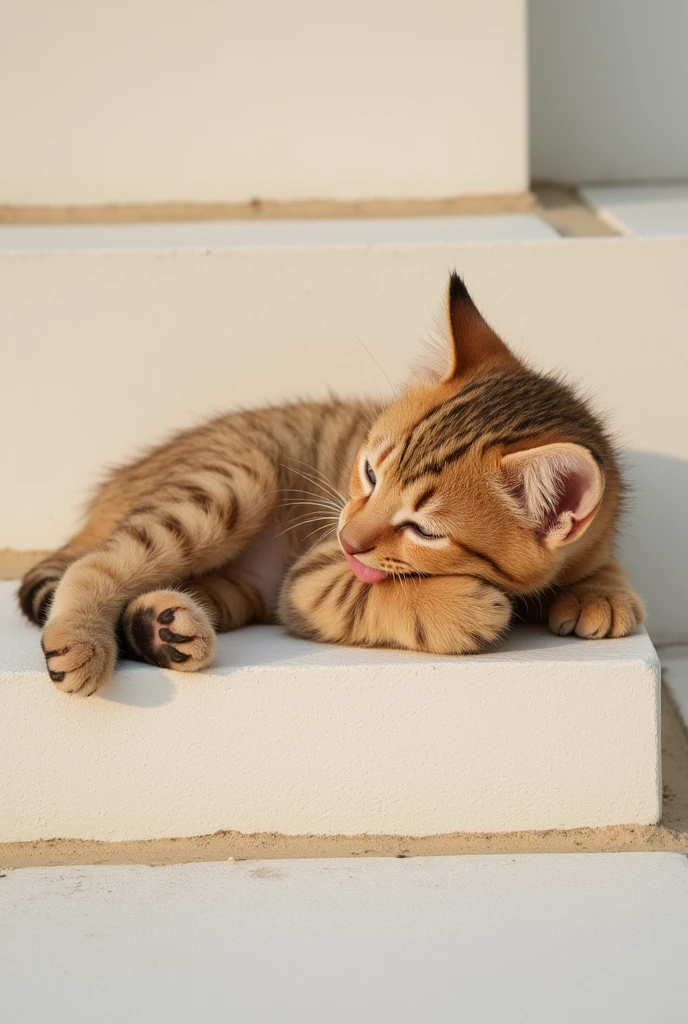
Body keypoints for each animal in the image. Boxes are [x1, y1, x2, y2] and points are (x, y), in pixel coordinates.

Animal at [20, 274, 647, 696]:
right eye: (369, 472)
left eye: (424, 530)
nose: (348, 539)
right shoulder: (311, 579)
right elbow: (377, 594)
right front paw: (464, 607)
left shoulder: (591, 536)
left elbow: (597, 560)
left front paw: (602, 591)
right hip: (231, 482)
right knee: (95, 562)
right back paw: (81, 640)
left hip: (235, 583)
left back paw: (162, 629)